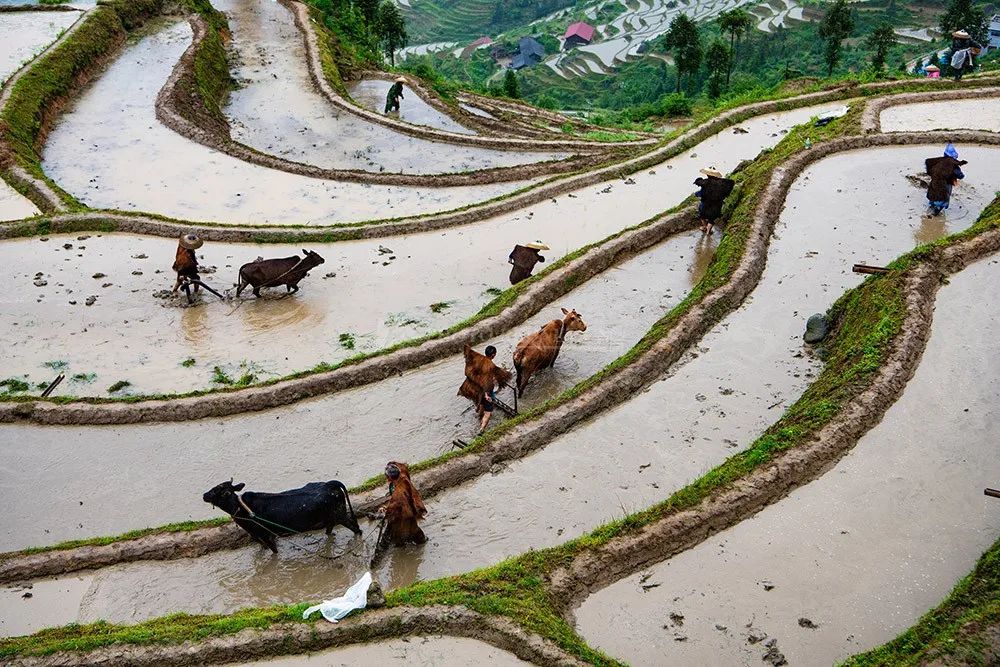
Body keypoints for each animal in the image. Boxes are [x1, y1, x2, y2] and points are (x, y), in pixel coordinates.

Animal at [201, 480, 362, 552]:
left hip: (341, 515)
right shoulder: (259, 536)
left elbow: (273, 552)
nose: (204, 495)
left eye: (216, 491)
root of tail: (330, 484)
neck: (242, 509)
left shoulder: (265, 535)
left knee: (356, 529)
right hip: (331, 518)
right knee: (330, 529)